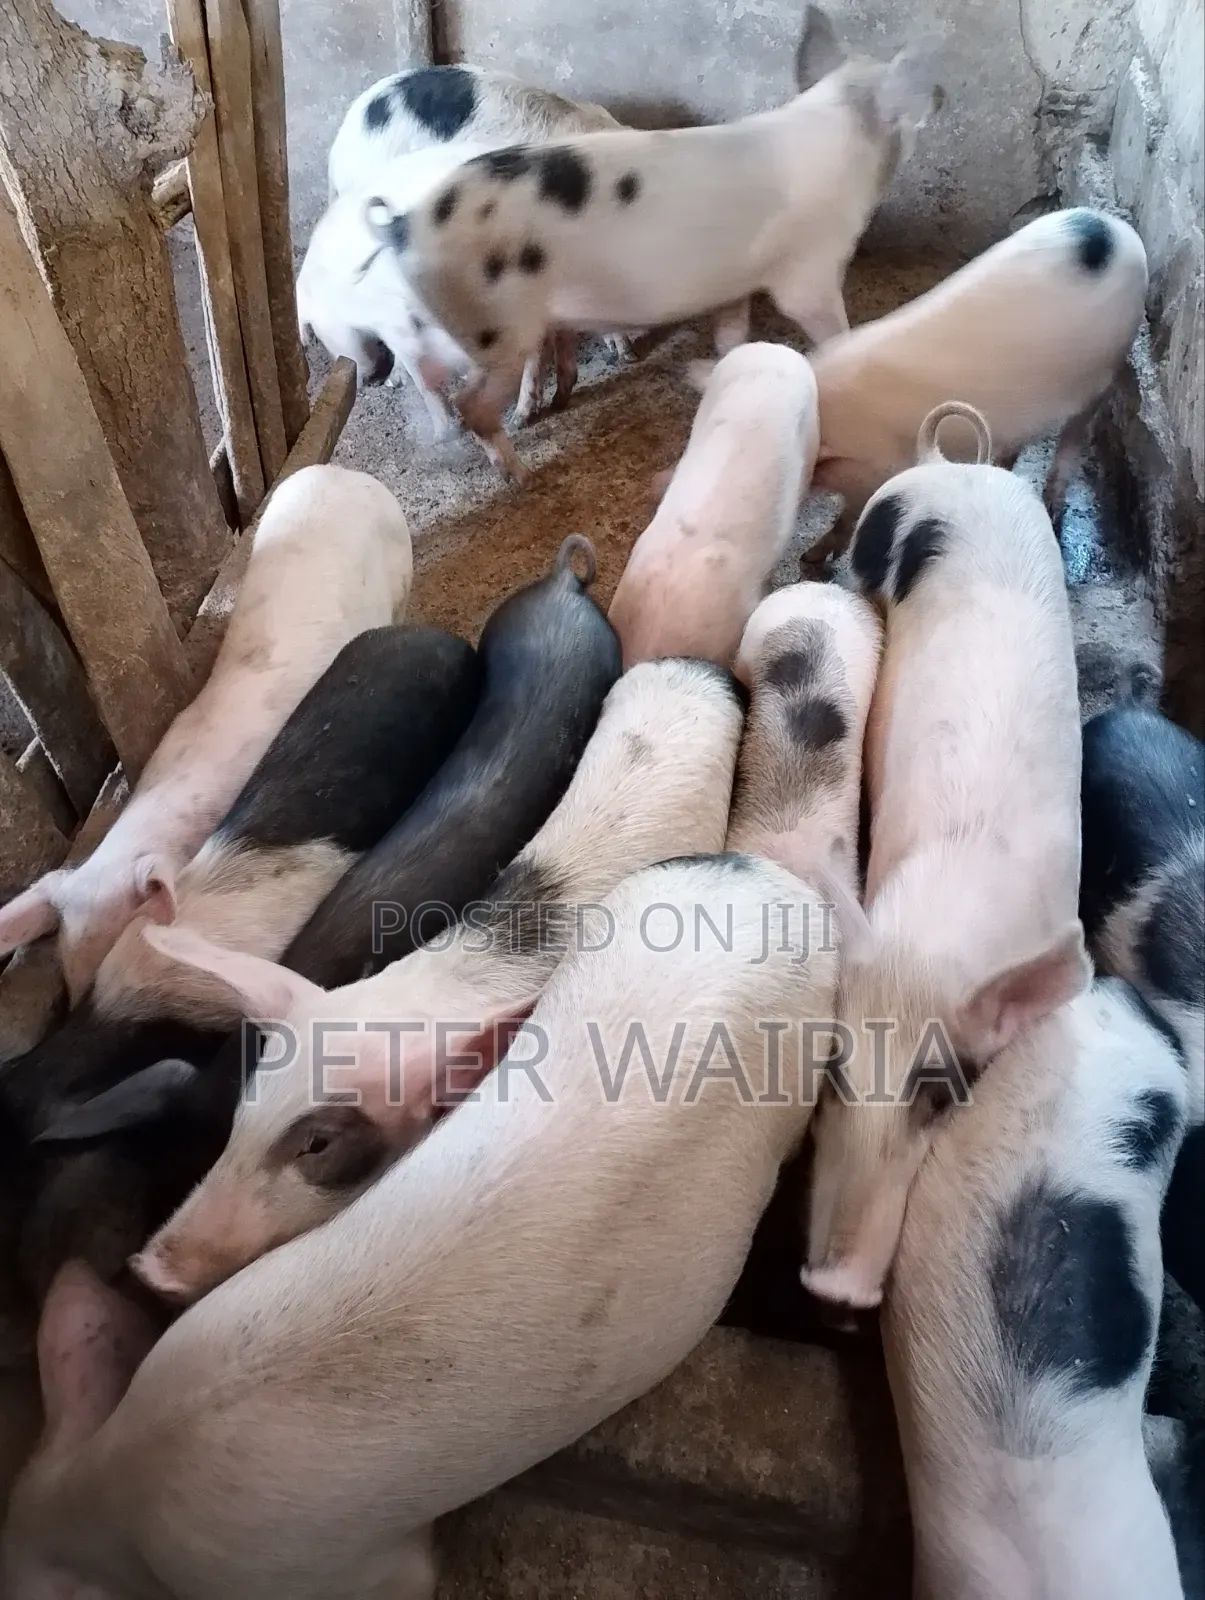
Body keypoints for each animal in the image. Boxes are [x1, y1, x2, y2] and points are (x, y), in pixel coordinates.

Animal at [3, 852, 837, 1600]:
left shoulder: (350, 1571)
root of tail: (759, 877)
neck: (116, 1485)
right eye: (241, 1114)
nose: (150, 1268)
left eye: (318, 1147)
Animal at [363, 7, 943, 479]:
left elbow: (733, 336)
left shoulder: (734, 284)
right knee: (472, 404)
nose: (939, 97)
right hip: (499, 328)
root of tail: (405, 224)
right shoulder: (810, 271)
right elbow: (830, 326)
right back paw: (519, 473)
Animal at [802, 207, 1149, 566]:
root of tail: (1118, 230)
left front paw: (811, 557)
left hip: (1105, 371)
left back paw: (1052, 509)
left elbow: (851, 512)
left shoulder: (875, 463)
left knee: (1071, 440)